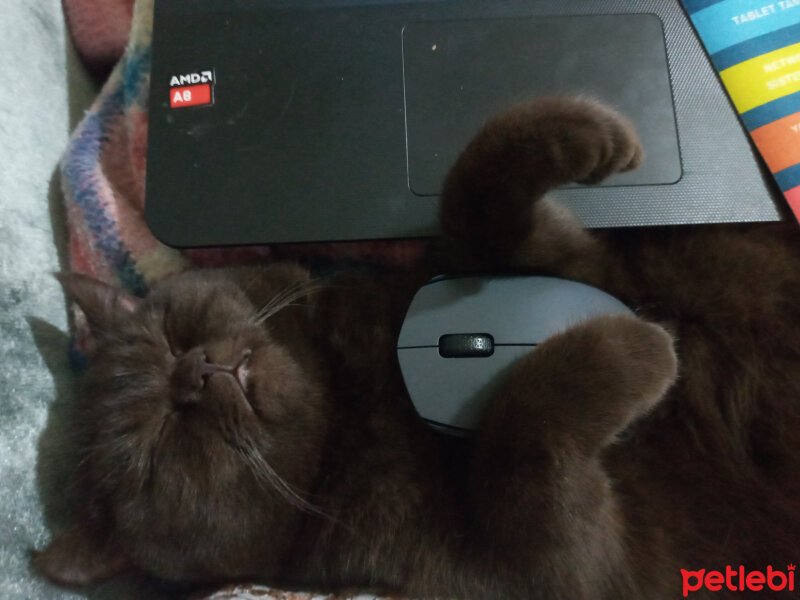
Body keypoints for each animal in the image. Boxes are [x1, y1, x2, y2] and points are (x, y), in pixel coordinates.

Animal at [32, 96, 800, 596]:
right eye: (153, 450)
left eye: (168, 336)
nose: (193, 371)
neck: (365, 384)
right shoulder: (572, 563)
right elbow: (523, 435)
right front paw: (639, 349)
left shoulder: (565, 261)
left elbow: (472, 191)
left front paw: (591, 132)